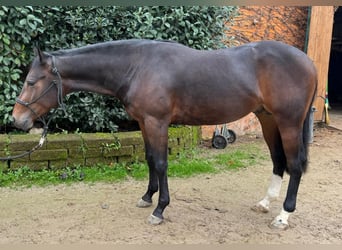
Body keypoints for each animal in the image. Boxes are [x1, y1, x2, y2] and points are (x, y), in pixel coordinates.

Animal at [11, 40, 318, 229]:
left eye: (31, 81)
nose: (16, 119)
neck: (137, 66)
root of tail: (309, 62)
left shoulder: (157, 122)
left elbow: (160, 162)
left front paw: (159, 210)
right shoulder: (144, 122)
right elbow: (149, 159)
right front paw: (147, 197)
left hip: (289, 122)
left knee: (294, 165)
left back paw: (283, 216)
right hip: (268, 119)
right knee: (278, 161)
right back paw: (265, 203)